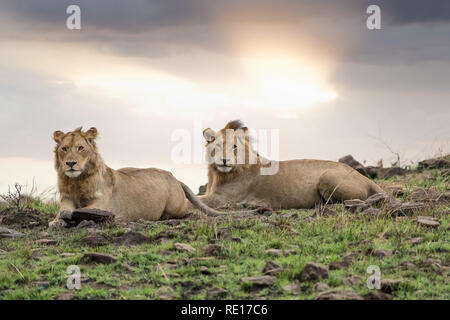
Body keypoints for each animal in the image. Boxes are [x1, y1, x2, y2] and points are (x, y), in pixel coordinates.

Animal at [49, 126, 225, 229]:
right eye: (64, 148)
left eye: (80, 148)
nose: (70, 163)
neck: (76, 181)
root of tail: (174, 178)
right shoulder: (66, 198)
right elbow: (62, 211)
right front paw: (56, 221)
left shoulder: (102, 204)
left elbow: (81, 210)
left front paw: (69, 217)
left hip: (175, 207)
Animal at [200, 120, 384, 210]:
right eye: (218, 145)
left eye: (234, 147)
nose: (225, 160)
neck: (218, 175)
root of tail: (366, 179)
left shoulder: (222, 199)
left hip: (327, 176)